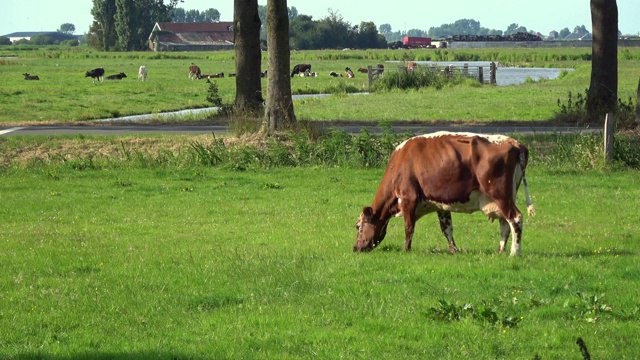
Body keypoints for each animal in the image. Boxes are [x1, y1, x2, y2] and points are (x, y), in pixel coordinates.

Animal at [356, 131, 536, 256]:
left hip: (501, 195)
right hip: (506, 197)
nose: (355, 248)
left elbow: (409, 227)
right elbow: (446, 229)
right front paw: (454, 250)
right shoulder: (440, 206)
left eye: (358, 226)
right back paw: (500, 251)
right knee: (505, 223)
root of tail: (514, 143)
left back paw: (514, 253)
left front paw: (406, 250)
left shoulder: (408, 199)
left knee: (515, 218)